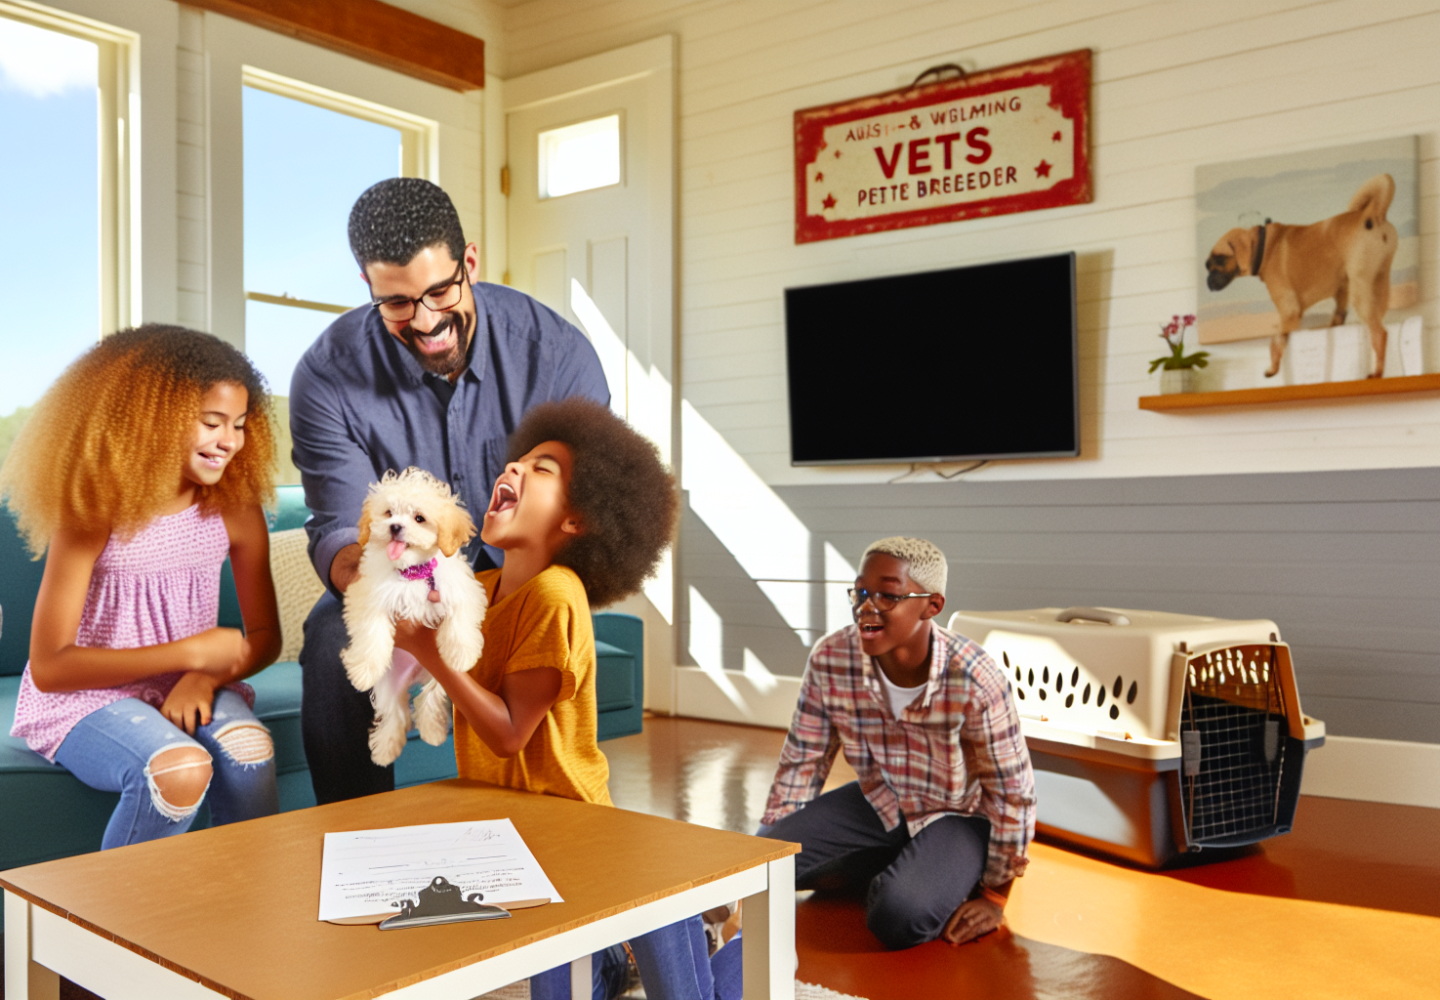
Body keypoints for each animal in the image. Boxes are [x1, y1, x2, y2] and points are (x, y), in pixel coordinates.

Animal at [341, 469, 489, 766]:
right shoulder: (367, 595)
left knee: (429, 698)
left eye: (419, 518)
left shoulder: (462, 589)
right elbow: (371, 632)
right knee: (395, 712)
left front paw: (461, 655)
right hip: (390, 682)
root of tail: (414, 676)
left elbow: (460, 620)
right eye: (388, 513)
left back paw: (432, 731)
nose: (395, 527)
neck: (412, 572)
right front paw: (363, 671)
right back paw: (386, 749)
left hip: (439, 676)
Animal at [1203, 172, 1393, 380]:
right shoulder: (1337, 292)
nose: (1208, 282)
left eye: (1220, 259)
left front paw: (1273, 367)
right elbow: (1337, 314)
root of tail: (1373, 213)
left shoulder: (1289, 312)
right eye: (1207, 266)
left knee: (1380, 333)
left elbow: (1275, 342)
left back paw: (1377, 372)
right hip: (1379, 282)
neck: (1264, 246)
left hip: (1361, 288)